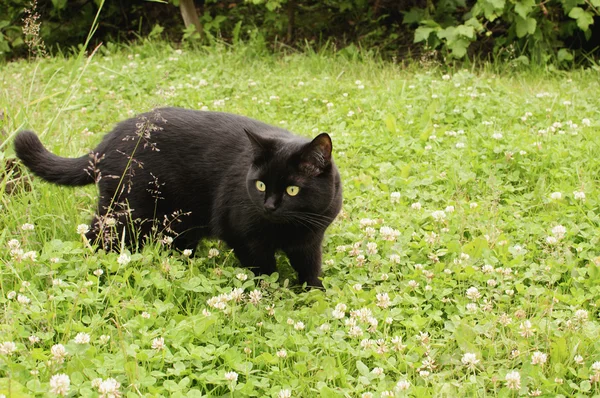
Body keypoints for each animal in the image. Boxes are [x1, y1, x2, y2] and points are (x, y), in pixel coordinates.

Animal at [14, 107, 342, 288]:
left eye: (292, 190)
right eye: (260, 185)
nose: (269, 206)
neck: (289, 228)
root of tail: (106, 144)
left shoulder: (310, 241)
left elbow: (311, 270)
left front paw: (316, 293)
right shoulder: (243, 237)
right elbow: (264, 270)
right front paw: (271, 292)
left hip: (177, 224)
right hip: (126, 211)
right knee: (96, 235)